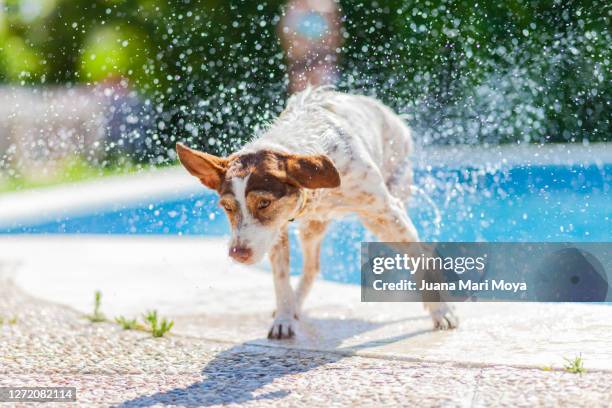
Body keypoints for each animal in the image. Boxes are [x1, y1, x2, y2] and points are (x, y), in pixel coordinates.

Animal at [175, 87, 456, 340]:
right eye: (227, 207)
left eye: (264, 203)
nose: (237, 254)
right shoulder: (277, 230)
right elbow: (281, 280)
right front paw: (284, 318)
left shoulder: (387, 211)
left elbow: (421, 258)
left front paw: (440, 310)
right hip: (313, 228)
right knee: (311, 268)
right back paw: (295, 305)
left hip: (383, 212)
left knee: (420, 249)